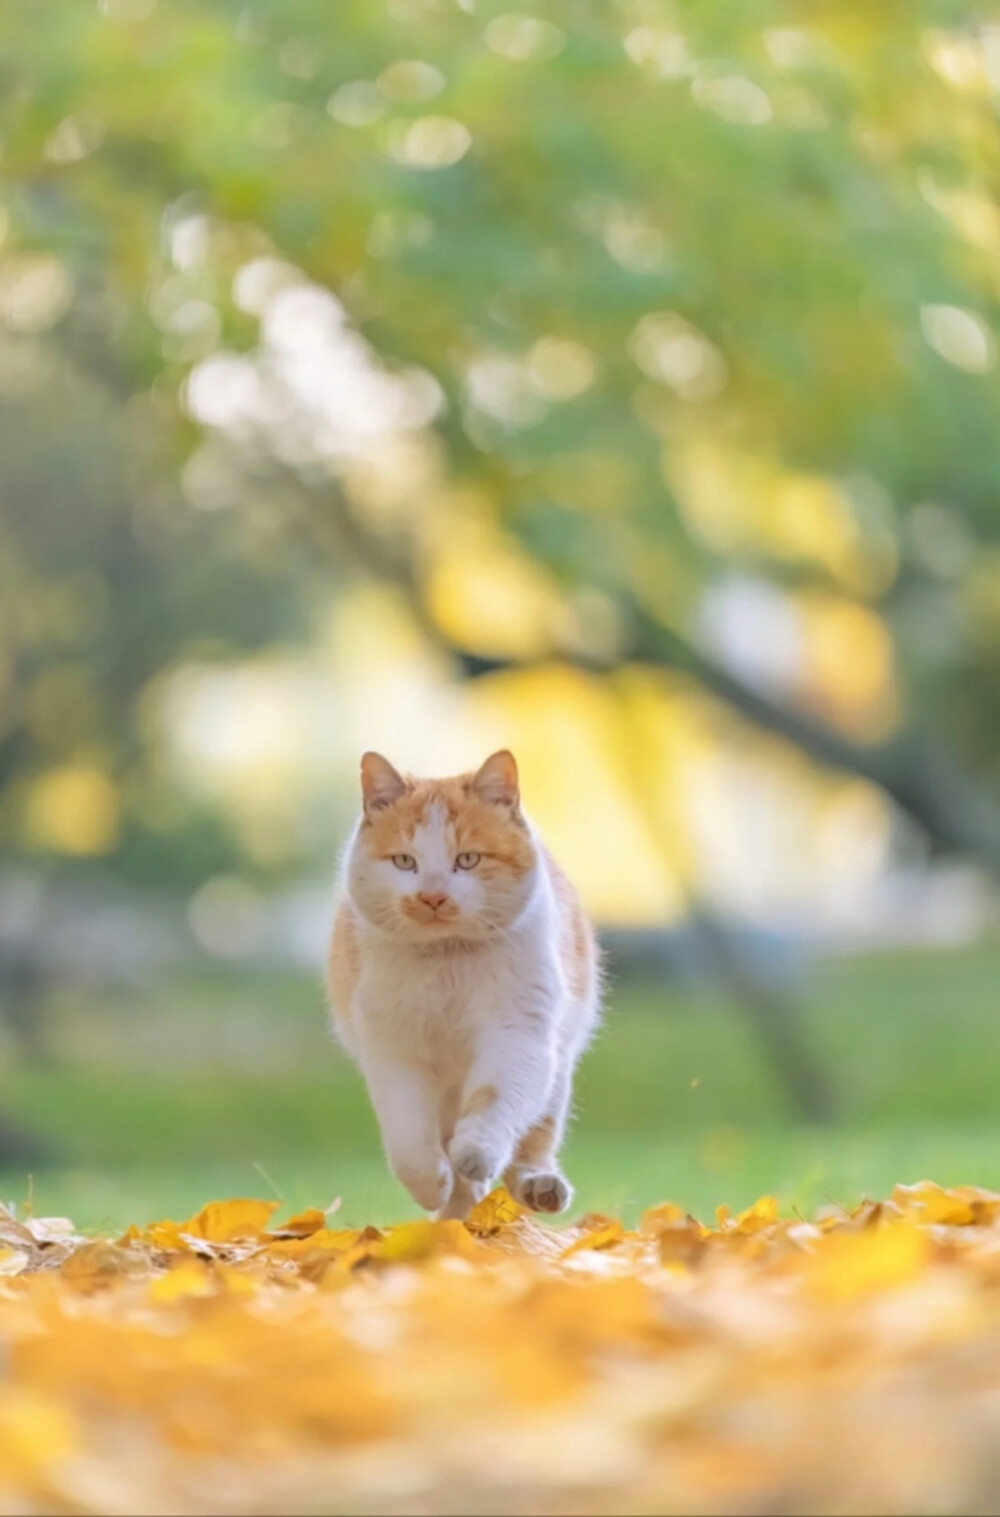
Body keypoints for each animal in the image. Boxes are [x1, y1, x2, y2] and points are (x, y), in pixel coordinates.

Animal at [326, 752, 603, 1225]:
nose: (432, 897)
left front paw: (476, 1152)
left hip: (557, 1067)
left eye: (468, 859)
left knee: (535, 1136)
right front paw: (431, 1185)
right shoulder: (394, 1049)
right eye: (404, 861)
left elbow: (493, 1098)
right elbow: (407, 1134)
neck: (447, 962)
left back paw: (536, 1186)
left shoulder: (518, 1033)